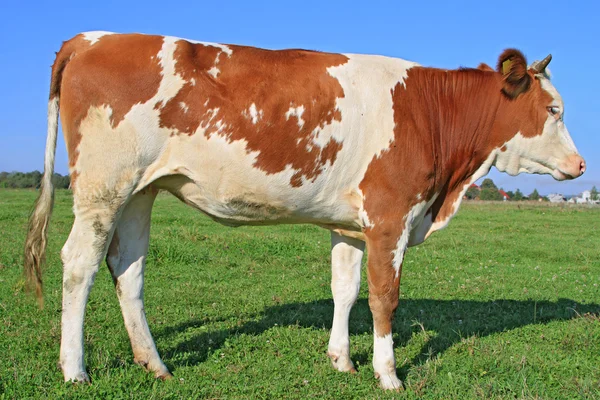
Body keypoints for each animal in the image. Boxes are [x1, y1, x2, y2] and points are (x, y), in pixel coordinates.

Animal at [25, 32, 584, 390]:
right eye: (554, 110)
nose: (581, 165)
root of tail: (90, 38)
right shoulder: (390, 218)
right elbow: (384, 298)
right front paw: (388, 374)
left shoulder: (351, 225)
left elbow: (346, 288)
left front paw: (341, 360)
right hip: (103, 187)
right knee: (79, 264)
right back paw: (74, 370)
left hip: (140, 191)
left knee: (128, 269)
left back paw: (154, 363)